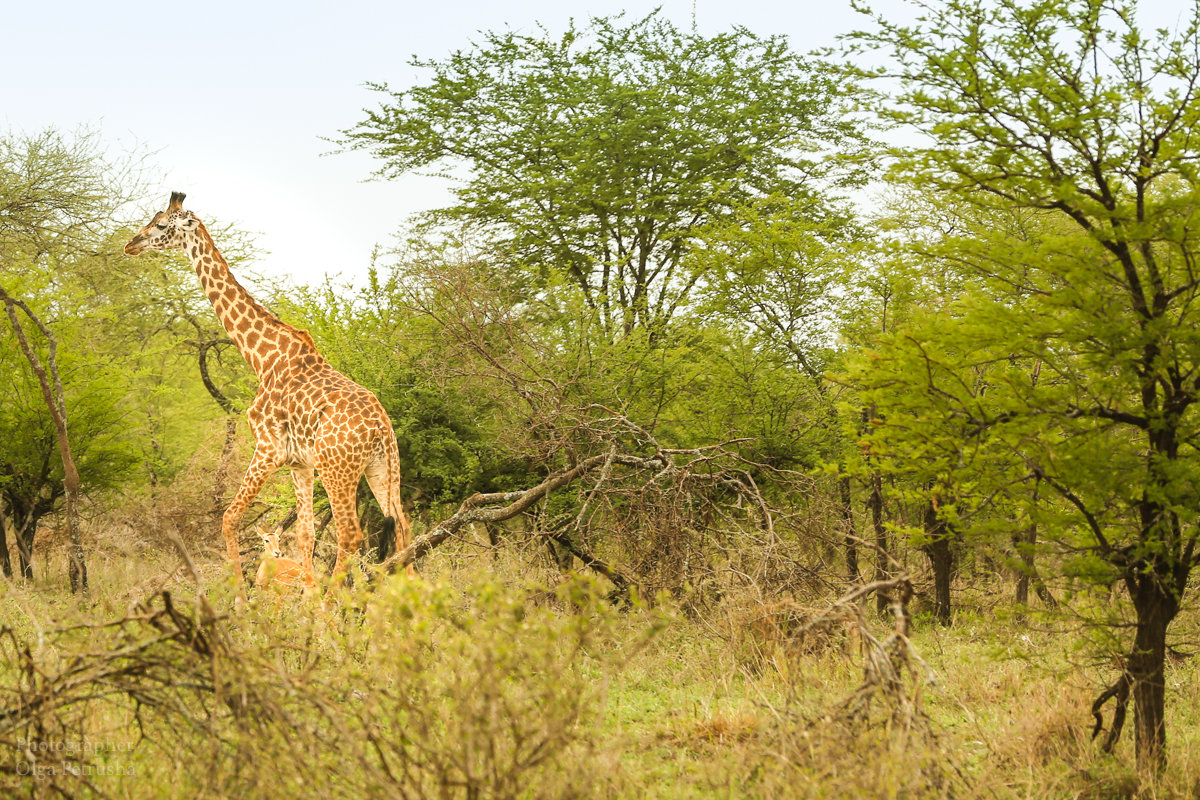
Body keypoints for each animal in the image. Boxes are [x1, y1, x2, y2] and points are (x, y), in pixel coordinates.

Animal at [122, 190, 412, 585]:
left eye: (162, 224)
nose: (131, 244)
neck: (262, 357)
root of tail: (381, 427)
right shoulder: (299, 463)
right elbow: (304, 533)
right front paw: (307, 598)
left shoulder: (267, 447)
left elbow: (229, 518)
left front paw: (241, 597)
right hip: (382, 468)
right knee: (402, 528)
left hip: (337, 470)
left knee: (350, 534)